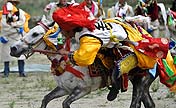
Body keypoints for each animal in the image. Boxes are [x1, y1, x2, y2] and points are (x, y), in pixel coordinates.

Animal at [10, 15, 157, 108]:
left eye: (35, 34)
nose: (13, 48)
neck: (65, 62)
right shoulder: (63, 89)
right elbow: (46, 99)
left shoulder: (82, 90)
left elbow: (65, 103)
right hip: (138, 82)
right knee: (149, 104)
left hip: (141, 81)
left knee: (135, 104)